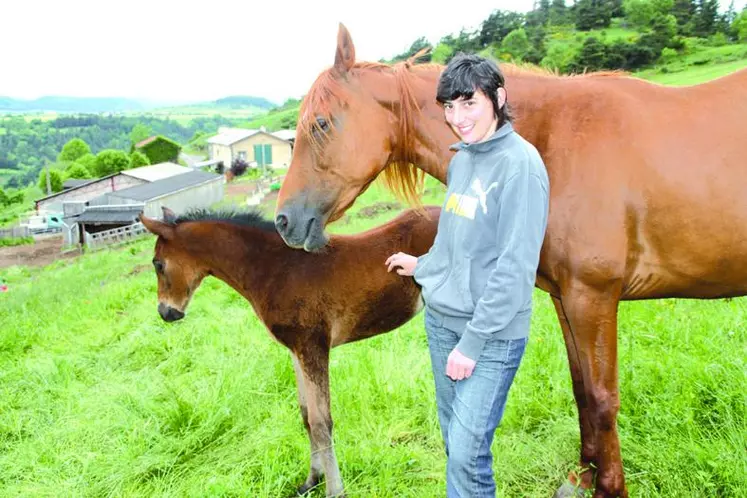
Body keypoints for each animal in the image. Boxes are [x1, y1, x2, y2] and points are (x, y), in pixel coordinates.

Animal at [140, 204, 438, 496]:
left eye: (158, 264)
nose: (166, 312)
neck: (276, 269)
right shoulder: (296, 350)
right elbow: (306, 415)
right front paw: (311, 481)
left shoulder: (313, 346)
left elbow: (321, 422)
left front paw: (334, 491)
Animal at [274, 25, 747, 498]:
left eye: (320, 123)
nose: (283, 221)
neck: (552, 141)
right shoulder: (566, 300)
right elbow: (581, 390)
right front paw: (582, 477)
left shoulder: (592, 298)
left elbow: (602, 398)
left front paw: (609, 487)